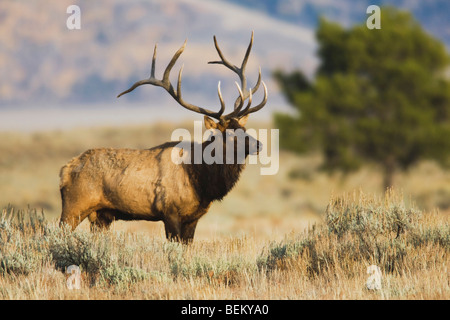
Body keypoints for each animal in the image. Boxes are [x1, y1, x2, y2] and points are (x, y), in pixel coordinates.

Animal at [57, 32, 266, 242]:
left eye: (243, 128)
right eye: (229, 133)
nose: (259, 145)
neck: (201, 180)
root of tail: (65, 170)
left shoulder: (193, 217)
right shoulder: (170, 211)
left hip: (101, 216)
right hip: (74, 206)